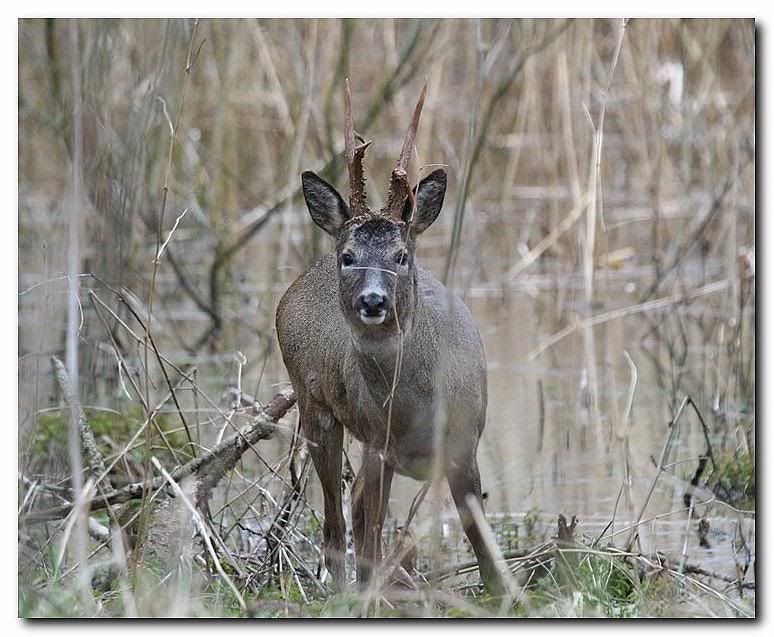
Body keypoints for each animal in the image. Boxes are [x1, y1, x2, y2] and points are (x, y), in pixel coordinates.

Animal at [275, 82, 505, 595]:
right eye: (348, 255)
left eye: (401, 255)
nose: (373, 301)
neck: (416, 408)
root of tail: (296, 286)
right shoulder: (379, 445)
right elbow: (367, 536)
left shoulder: (465, 442)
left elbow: (482, 545)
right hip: (316, 409)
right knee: (338, 523)